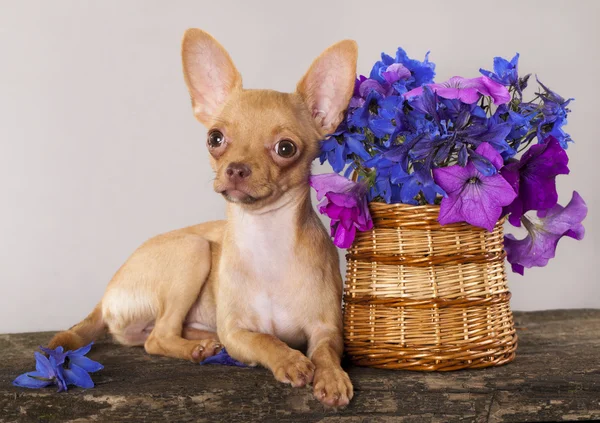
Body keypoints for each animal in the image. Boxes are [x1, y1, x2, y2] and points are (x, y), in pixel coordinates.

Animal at [48, 29, 356, 408]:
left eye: (286, 148)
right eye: (215, 138)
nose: (236, 168)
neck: (266, 238)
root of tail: (106, 296)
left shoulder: (327, 329)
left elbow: (325, 352)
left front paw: (332, 377)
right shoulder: (238, 331)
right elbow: (264, 340)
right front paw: (290, 360)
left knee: (156, 333)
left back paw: (203, 341)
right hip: (192, 251)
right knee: (158, 337)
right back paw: (196, 348)